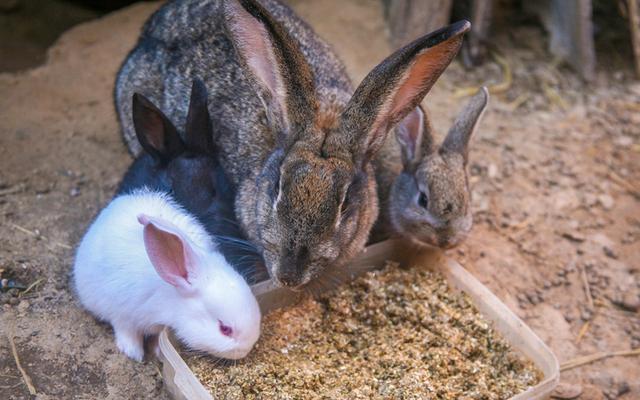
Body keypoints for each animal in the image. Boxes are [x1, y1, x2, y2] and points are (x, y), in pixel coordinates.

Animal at [75, 189, 262, 360]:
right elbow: (126, 331)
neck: (172, 299)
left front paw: (158, 350)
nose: (247, 348)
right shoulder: (122, 313)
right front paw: (134, 353)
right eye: (225, 329)